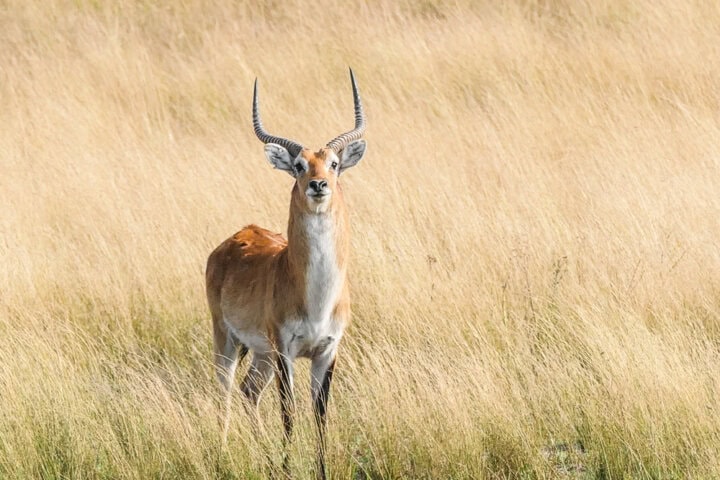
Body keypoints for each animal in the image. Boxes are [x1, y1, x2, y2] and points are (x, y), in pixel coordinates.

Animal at [205, 69, 367, 479]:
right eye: (299, 165)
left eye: (334, 164)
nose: (318, 185)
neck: (316, 301)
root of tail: (235, 237)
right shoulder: (286, 351)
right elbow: (289, 414)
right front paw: (288, 466)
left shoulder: (327, 351)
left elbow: (321, 416)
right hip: (227, 339)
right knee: (225, 389)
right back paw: (223, 454)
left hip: (260, 354)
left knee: (248, 392)